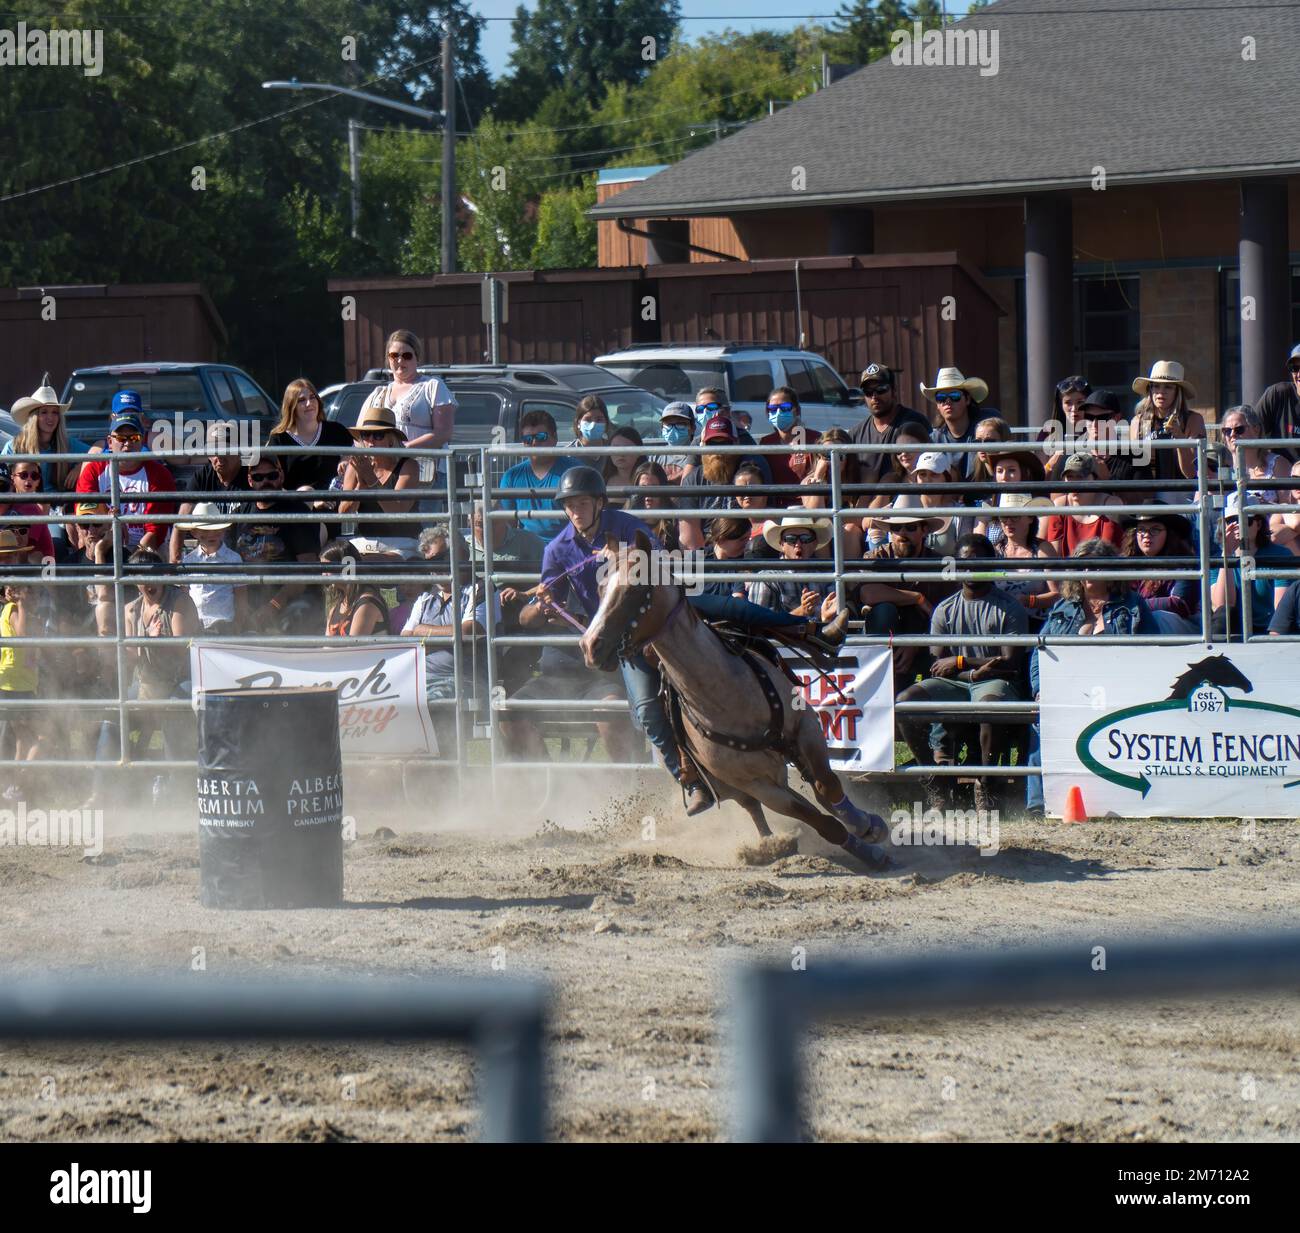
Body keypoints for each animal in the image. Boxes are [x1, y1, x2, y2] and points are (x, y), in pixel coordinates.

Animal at [582, 535, 894, 874]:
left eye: (635, 589)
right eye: (600, 589)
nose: (589, 646)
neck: (726, 696)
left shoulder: (806, 727)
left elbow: (827, 786)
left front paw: (868, 826)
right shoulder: (757, 784)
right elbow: (823, 823)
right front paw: (870, 853)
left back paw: (825, 632)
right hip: (732, 784)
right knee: (753, 808)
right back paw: (770, 845)